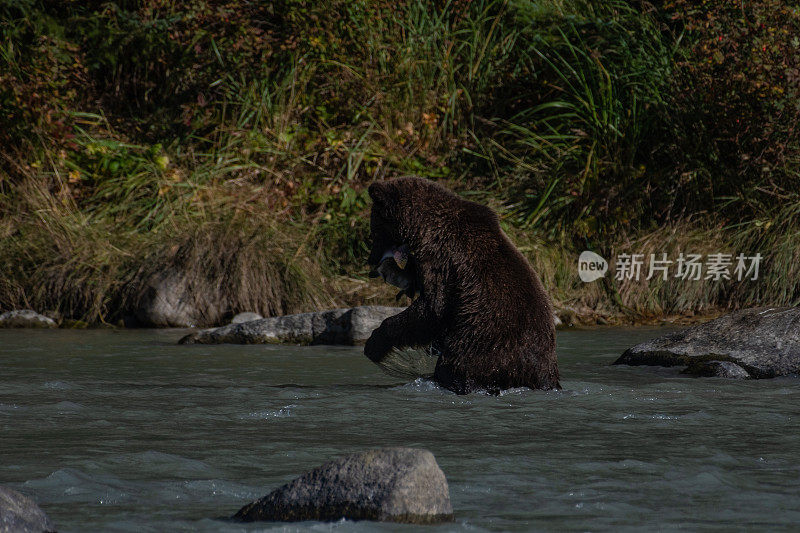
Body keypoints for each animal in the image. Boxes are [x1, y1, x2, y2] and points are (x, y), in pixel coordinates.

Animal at [366, 177, 560, 392]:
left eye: (374, 230)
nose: (371, 259)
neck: (422, 228)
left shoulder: (442, 260)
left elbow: (432, 309)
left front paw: (375, 342)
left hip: (481, 343)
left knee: (455, 366)